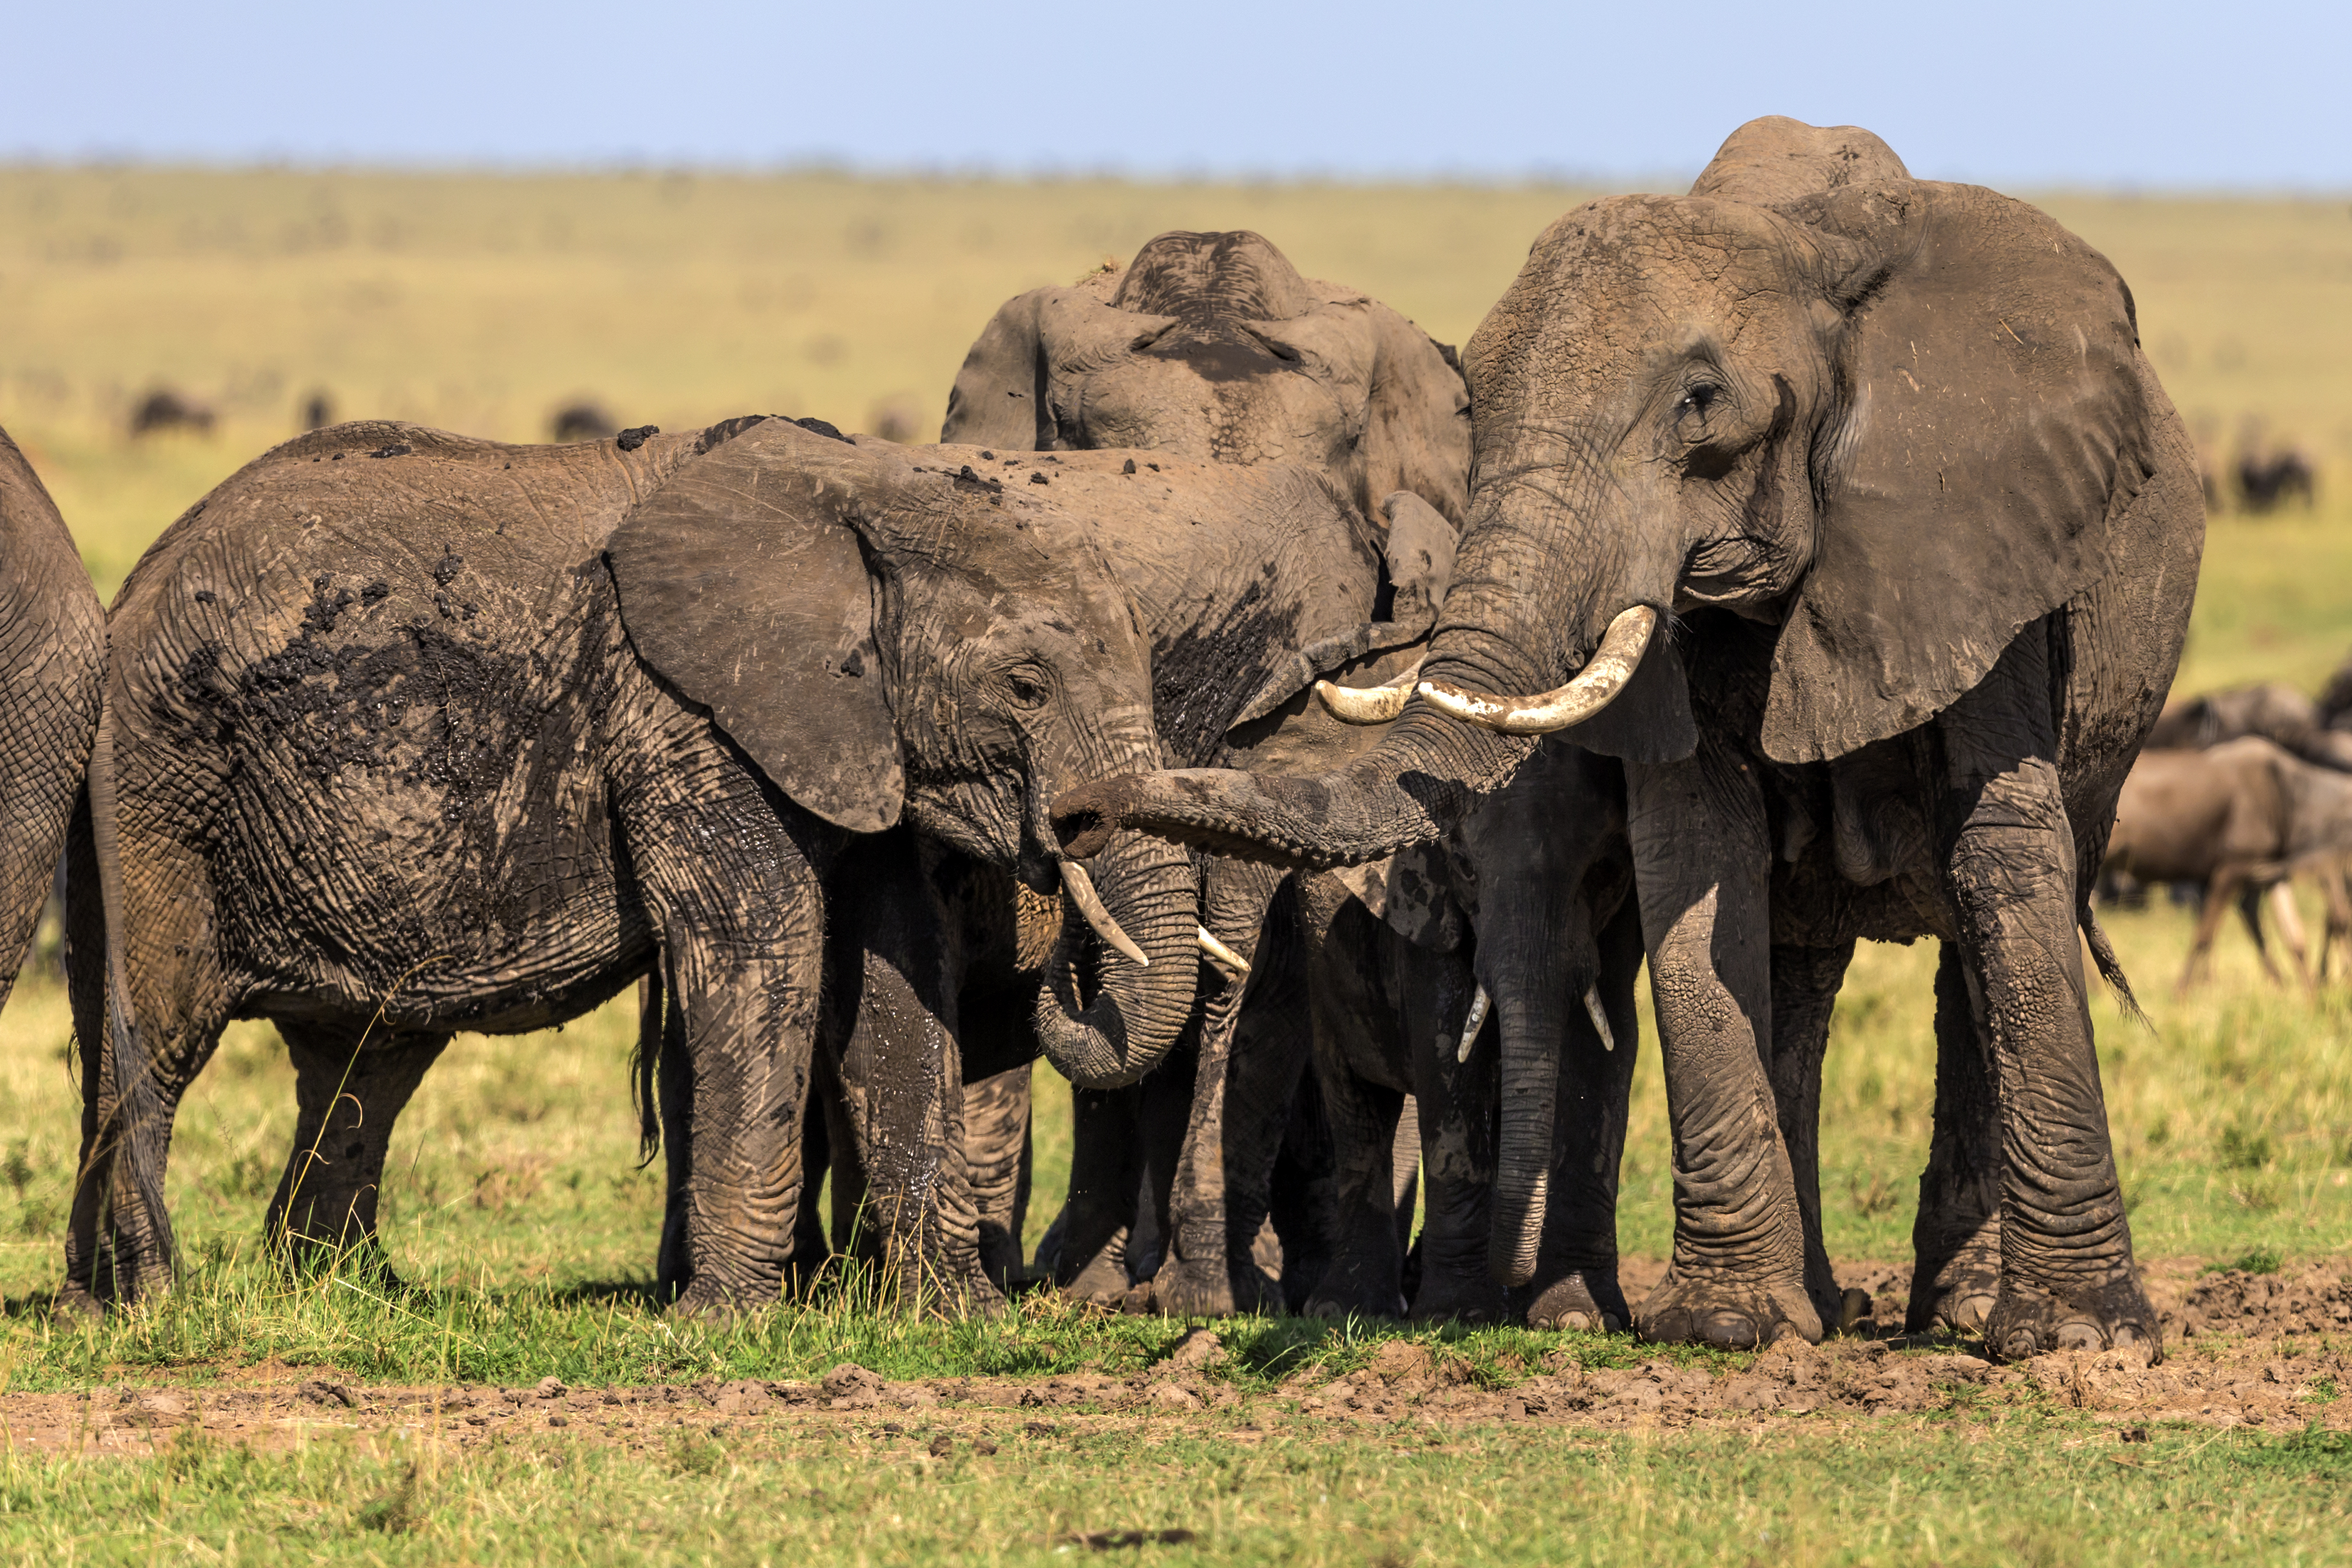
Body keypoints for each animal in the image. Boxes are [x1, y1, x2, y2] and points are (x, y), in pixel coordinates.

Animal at [62, 415, 1207, 1316]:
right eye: (1024, 685)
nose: (1061, 864)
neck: (865, 493)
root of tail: (138, 581)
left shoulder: (847, 734)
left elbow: (891, 971)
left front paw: (960, 1316)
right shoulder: (683, 717)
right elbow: (763, 942)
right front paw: (727, 1320)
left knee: (357, 1066)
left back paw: (299, 1295)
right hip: (159, 784)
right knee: (156, 1036)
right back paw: (157, 1303)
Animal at [1056, 115, 2205, 1362]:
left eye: (1699, 401)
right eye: (1472, 403)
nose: (1070, 812)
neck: (1806, 241)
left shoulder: (1975, 540)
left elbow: (2000, 856)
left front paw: (2084, 1342)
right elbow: (1696, 863)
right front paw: (1729, 1327)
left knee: (1978, 930)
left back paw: (1951, 1312)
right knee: (1798, 967)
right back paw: (1823, 1306)